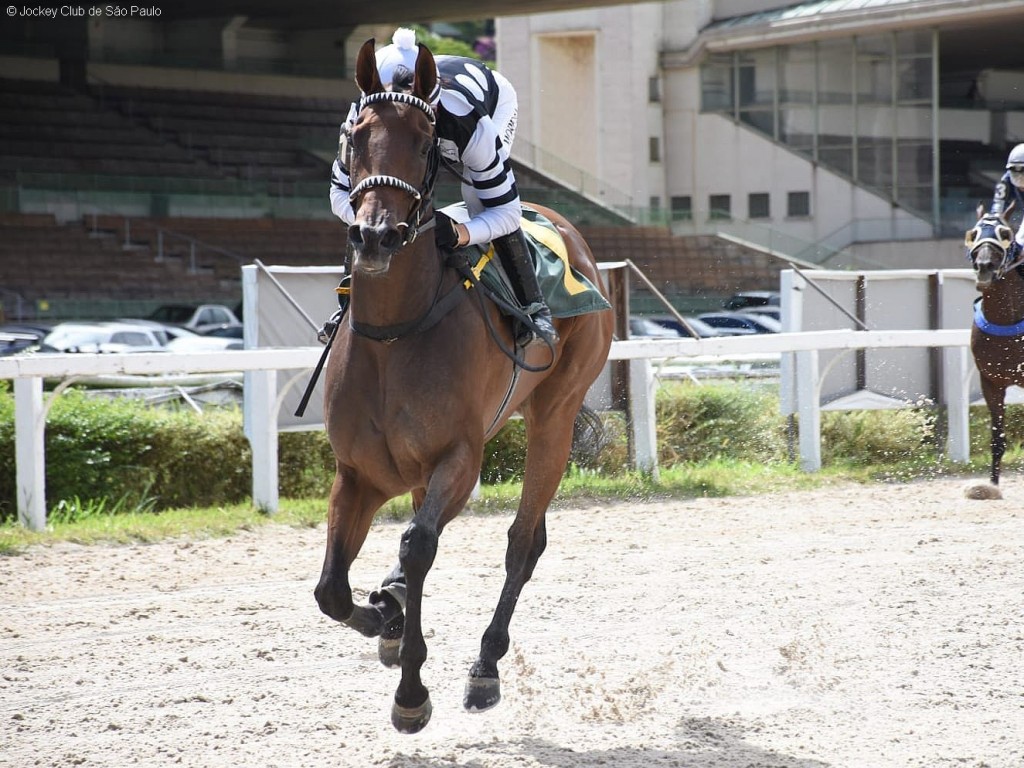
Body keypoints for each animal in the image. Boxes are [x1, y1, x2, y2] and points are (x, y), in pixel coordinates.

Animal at [311, 37, 610, 733]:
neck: (393, 335)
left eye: (425, 143)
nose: (376, 236)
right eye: (352, 139)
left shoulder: (460, 457)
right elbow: (332, 590)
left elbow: (420, 544)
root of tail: (565, 227)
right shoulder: (358, 472)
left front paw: (412, 692)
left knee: (524, 542)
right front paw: (385, 616)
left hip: (555, 416)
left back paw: (485, 666)